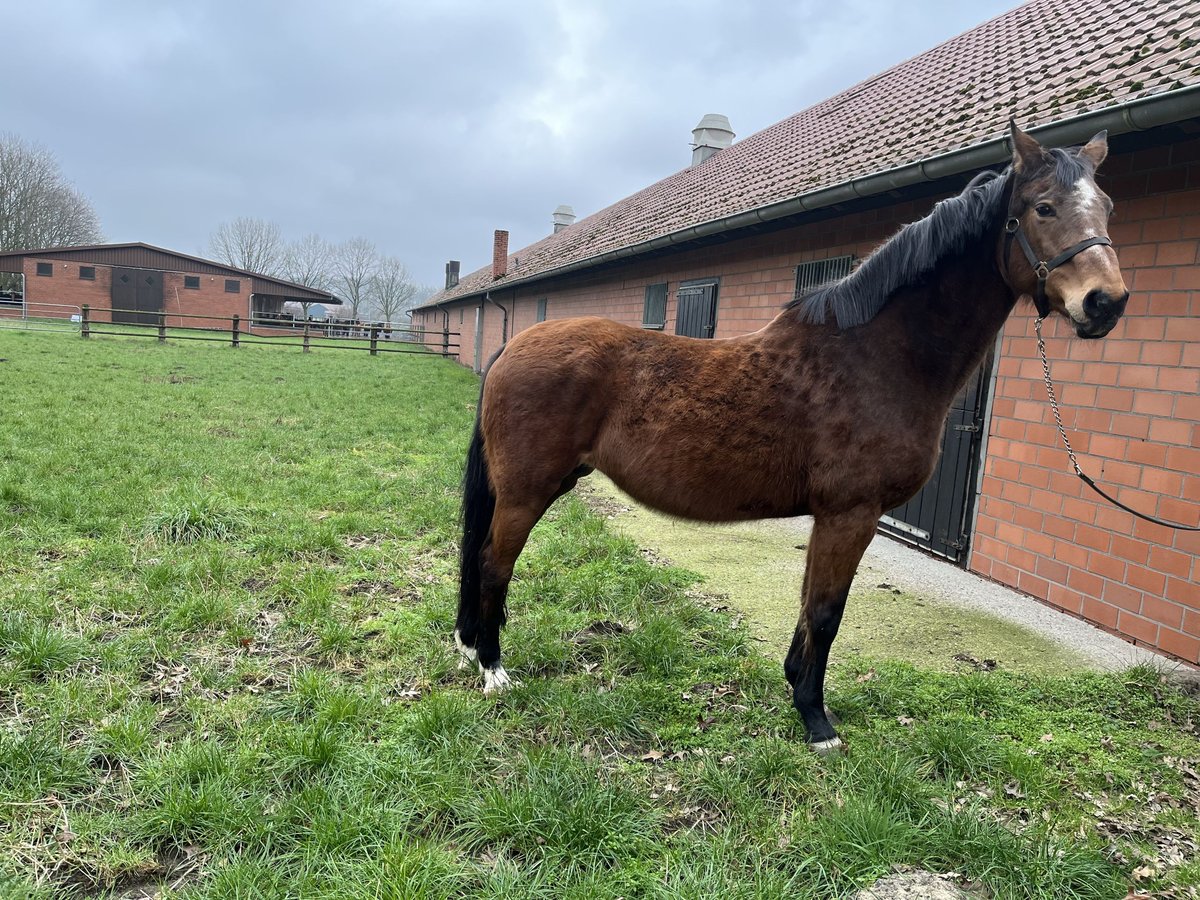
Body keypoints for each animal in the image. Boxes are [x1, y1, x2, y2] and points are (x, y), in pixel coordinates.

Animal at [453, 123, 1128, 748]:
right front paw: (816, 720)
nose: (1106, 302)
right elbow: (827, 613)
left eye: (1107, 206)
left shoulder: (831, 517)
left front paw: (795, 685)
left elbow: (809, 605)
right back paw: (493, 669)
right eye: (1043, 207)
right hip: (527, 490)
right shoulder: (851, 514)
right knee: (492, 562)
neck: (877, 355)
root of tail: (514, 345)